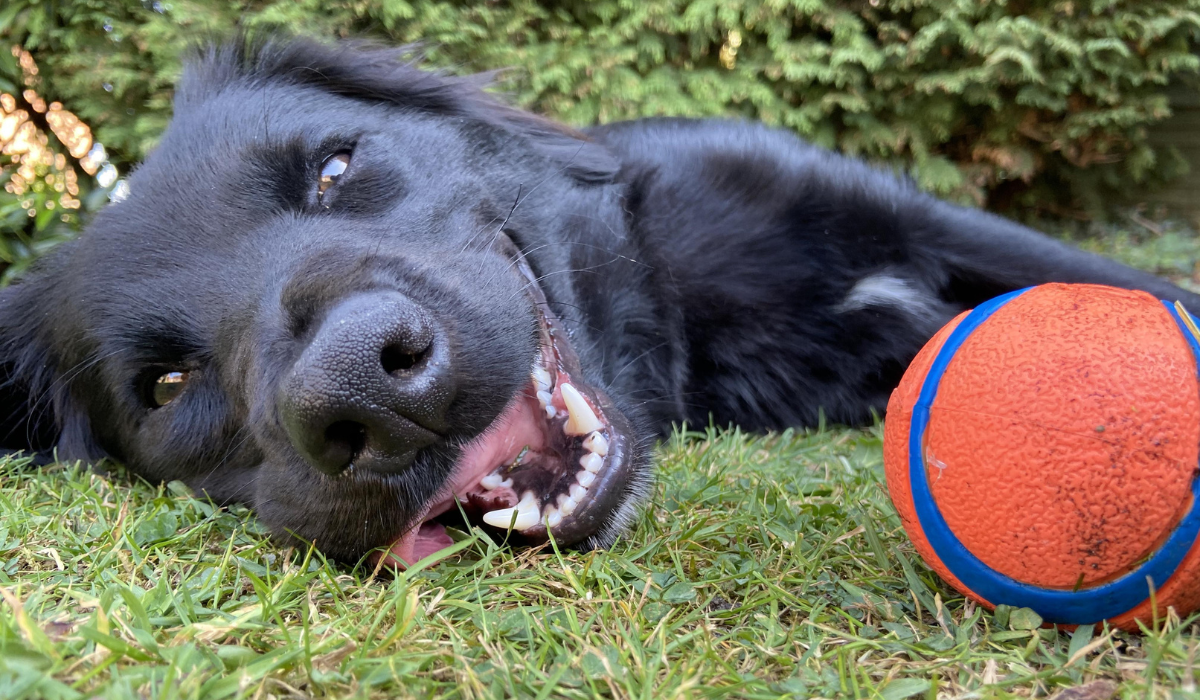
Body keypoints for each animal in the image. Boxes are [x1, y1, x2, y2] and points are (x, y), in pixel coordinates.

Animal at [4, 36, 1195, 564]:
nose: (367, 394)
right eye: (166, 385)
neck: (679, 287)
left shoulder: (919, 216)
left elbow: (1142, 285)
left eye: (334, 169)